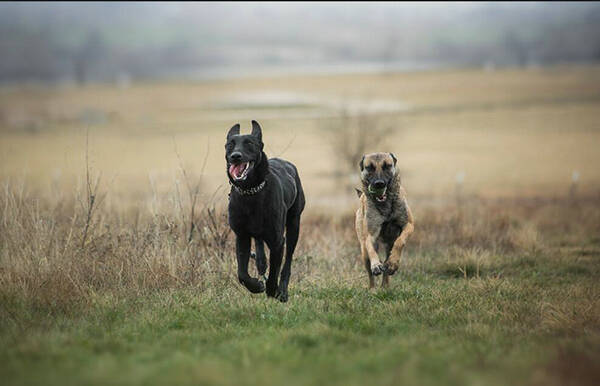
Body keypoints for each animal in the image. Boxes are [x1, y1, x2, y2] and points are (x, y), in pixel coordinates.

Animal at [224, 120, 304, 302]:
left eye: (249, 144)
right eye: (230, 144)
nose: (235, 156)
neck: (251, 192)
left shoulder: (277, 242)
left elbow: (275, 271)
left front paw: (273, 290)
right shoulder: (242, 236)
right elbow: (242, 274)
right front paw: (256, 286)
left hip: (294, 225)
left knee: (287, 262)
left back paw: (282, 290)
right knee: (260, 248)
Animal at [356, 152, 412, 288]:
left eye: (387, 165)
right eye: (369, 167)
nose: (379, 184)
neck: (385, 204)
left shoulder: (409, 225)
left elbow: (400, 241)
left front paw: (393, 264)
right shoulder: (370, 235)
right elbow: (371, 250)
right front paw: (376, 265)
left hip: (389, 245)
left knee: (387, 262)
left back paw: (385, 284)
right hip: (363, 251)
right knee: (370, 273)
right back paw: (373, 288)